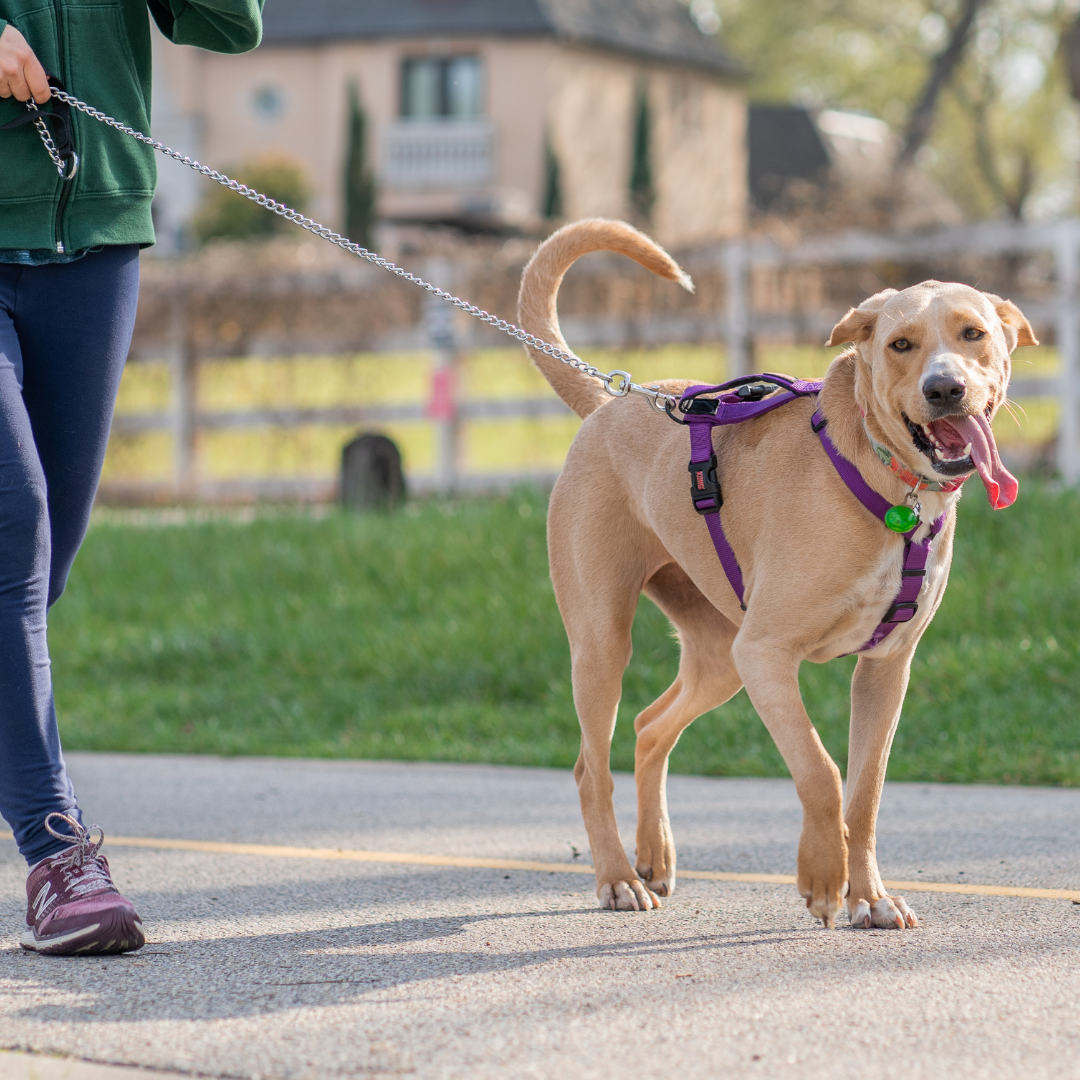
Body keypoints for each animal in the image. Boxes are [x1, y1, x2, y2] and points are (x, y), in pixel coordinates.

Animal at [518, 219, 1032, 928]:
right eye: (900, 344)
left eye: (973, 334)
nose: (944, 389)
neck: (889, 486)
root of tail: (610, 400)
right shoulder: (766, 654)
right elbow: (821, 771)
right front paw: (823, 880)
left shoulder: (885, 669)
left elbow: (865, 792)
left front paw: (870, 896)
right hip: (606, 643)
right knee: (590, 768)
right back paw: (619, 878)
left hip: (718, 657)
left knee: (650, 728)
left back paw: (654, 854)